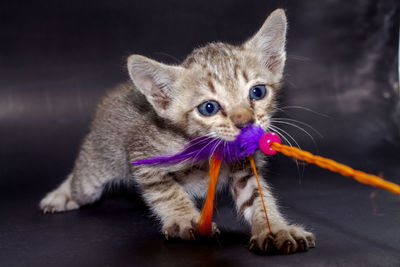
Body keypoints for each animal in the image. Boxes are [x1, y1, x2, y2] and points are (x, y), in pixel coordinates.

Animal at [40, 8, 316, 254]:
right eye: (208, 107)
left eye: (257, 92)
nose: (245, 122)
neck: (209, 147)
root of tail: (116, 93)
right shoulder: (142, 155)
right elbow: (167, 192)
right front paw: (185, 219)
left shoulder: (243, 168)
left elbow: (257, 198)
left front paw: (275, 229)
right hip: (94, 172)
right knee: (80, 178)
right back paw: (60, 195)